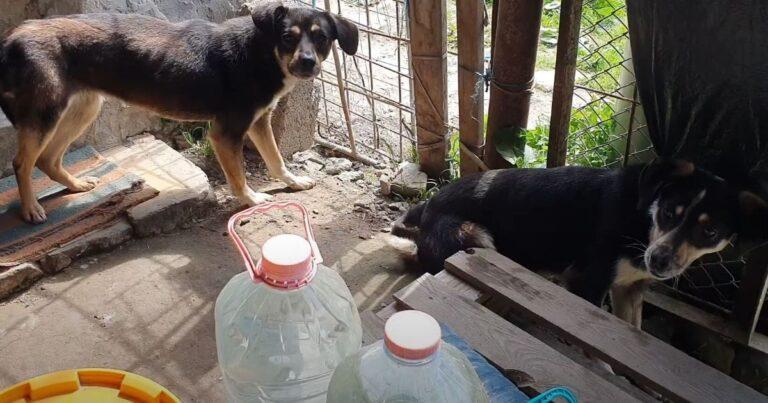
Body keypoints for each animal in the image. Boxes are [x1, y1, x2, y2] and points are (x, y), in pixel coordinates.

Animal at [0, 2, 356, 224]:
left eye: (322, 38)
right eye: (287, 38)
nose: (308, 63)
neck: (260, 52)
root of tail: (15, 34)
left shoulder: (258, 122)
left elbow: (276, 160)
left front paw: (293, 181)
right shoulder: (225, 133)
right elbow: (239, 177)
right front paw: (251, 200)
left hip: (83, 108)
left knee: (47, 159)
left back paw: (75, 185)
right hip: (44, 114)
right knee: (22, 162)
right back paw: (30, 208)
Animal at [392, 161, 764, 328]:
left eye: (710, 232)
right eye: (671, 212)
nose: (658, 262)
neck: (642, 217)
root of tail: (429, 204)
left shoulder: (630, 289)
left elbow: (632, 329)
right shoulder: (588, 282)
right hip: (476, 239)